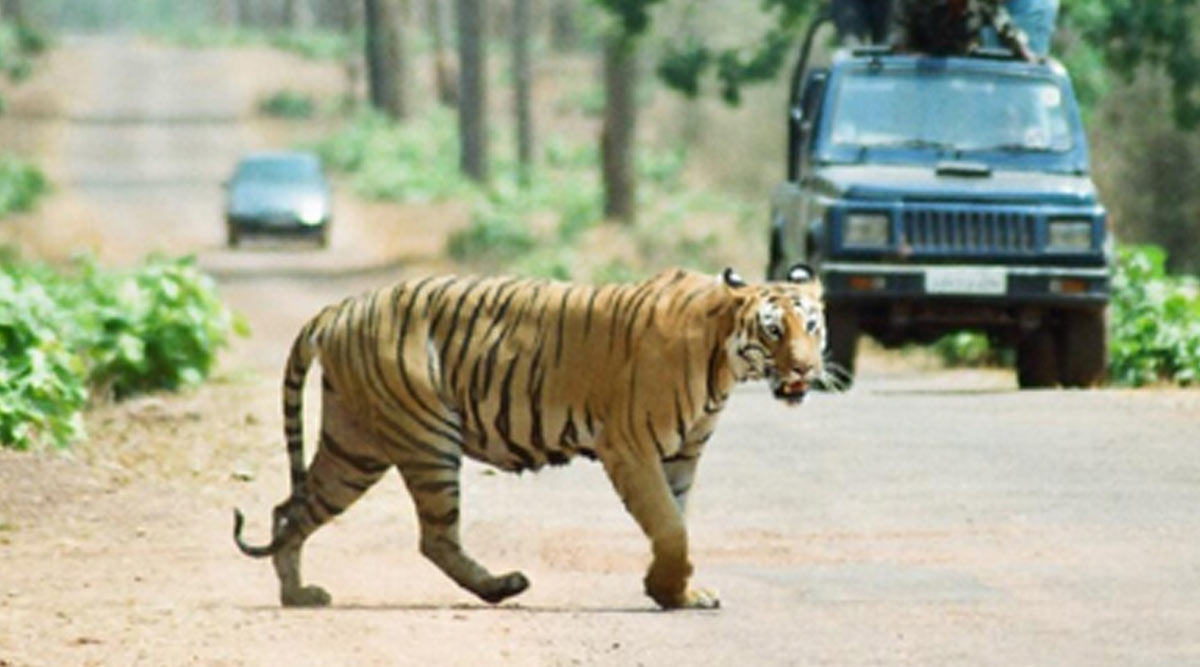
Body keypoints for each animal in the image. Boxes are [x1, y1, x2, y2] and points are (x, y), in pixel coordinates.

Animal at [234, 263, 830, 609]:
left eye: (812, 326)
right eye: (773, 331)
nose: (805, 368)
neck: (722, 361)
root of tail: (343, 306)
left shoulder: (682, 456)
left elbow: (677, 523)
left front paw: (675, 592)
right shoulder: (631, 447)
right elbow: (669, 526)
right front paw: (667, 591)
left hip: (355, 445)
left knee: (291, 509)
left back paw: (296, 593)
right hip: (426, 437)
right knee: (434, 538)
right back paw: (502, 587)